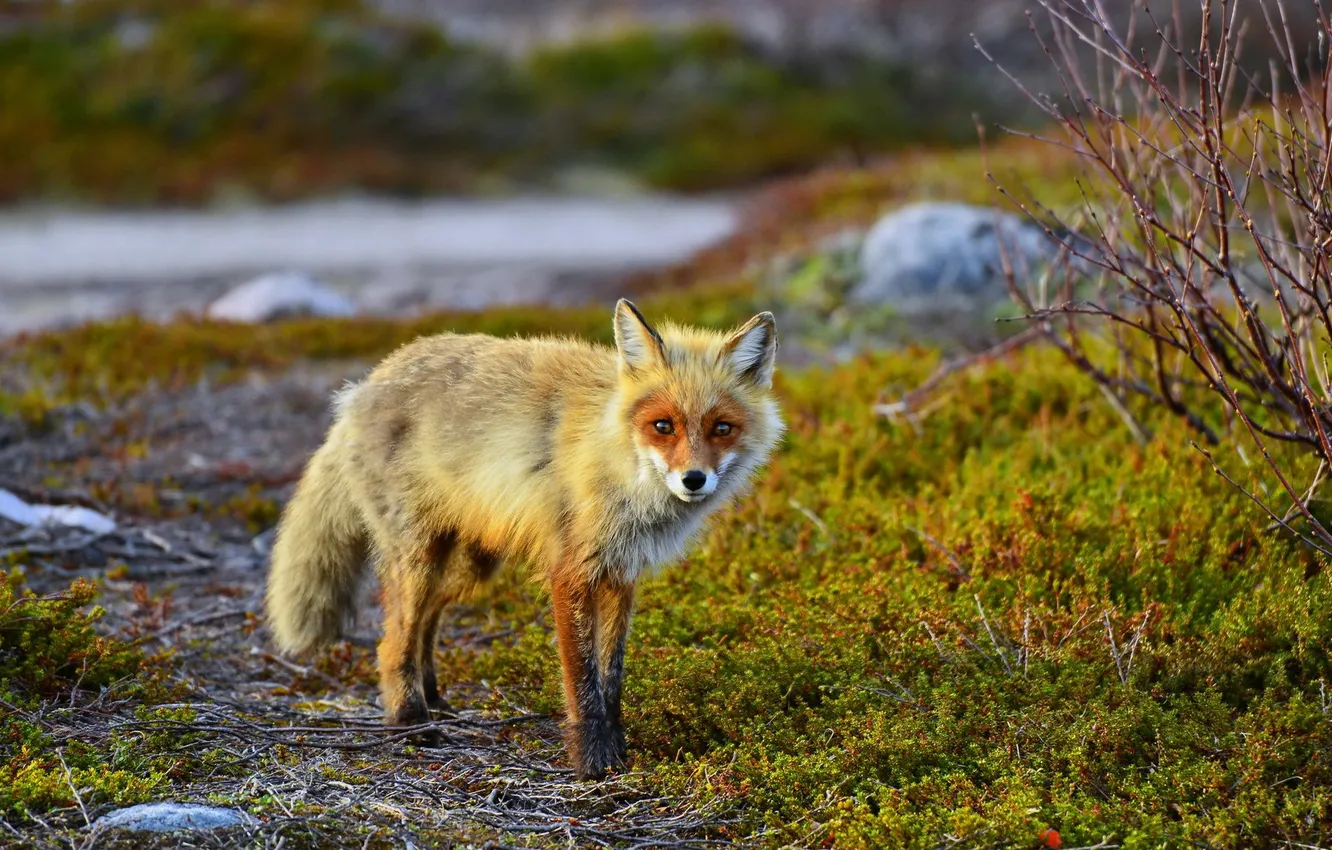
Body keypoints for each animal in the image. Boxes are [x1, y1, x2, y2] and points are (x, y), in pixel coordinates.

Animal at [264, 299, 784, 779]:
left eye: (722, 428)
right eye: (663, 426)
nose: (694, 480)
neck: (613, 460)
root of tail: (362, 387)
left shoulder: (620, 575)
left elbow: (612, 677)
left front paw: (618, 750)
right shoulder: (571, 573)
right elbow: (583, 680)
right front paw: (593, 764)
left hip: (469, 566)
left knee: (424, 624)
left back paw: (433, 699)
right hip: (419, 557)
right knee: (391, 643)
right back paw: (411, 722)